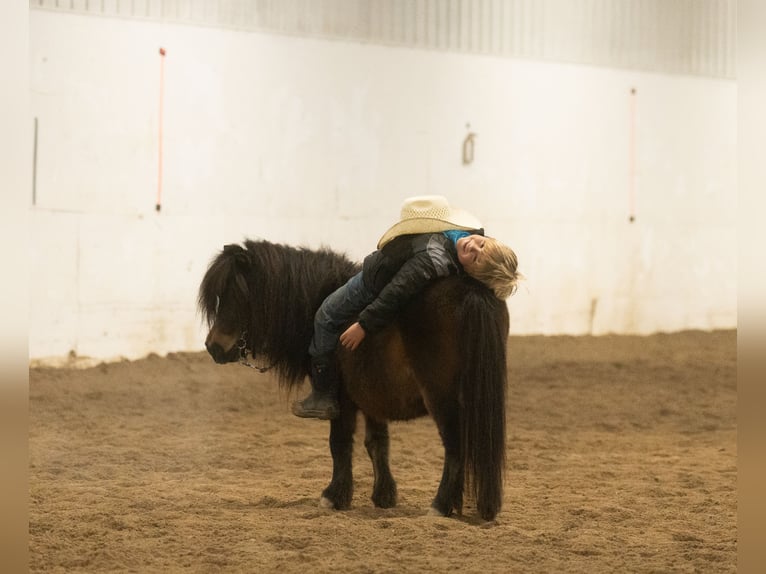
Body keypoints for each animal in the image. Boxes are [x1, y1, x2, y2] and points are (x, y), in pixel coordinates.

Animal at [198, 239, 510, 522]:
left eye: (235, 294)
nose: (213, 347)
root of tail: (472, 291)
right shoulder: (374, 397)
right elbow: (377, 444)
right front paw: (384, 496)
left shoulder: (341, 399)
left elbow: (339, 443)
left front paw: (334, 496)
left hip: (442, 399)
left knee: (455, 446)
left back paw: (440, 505)